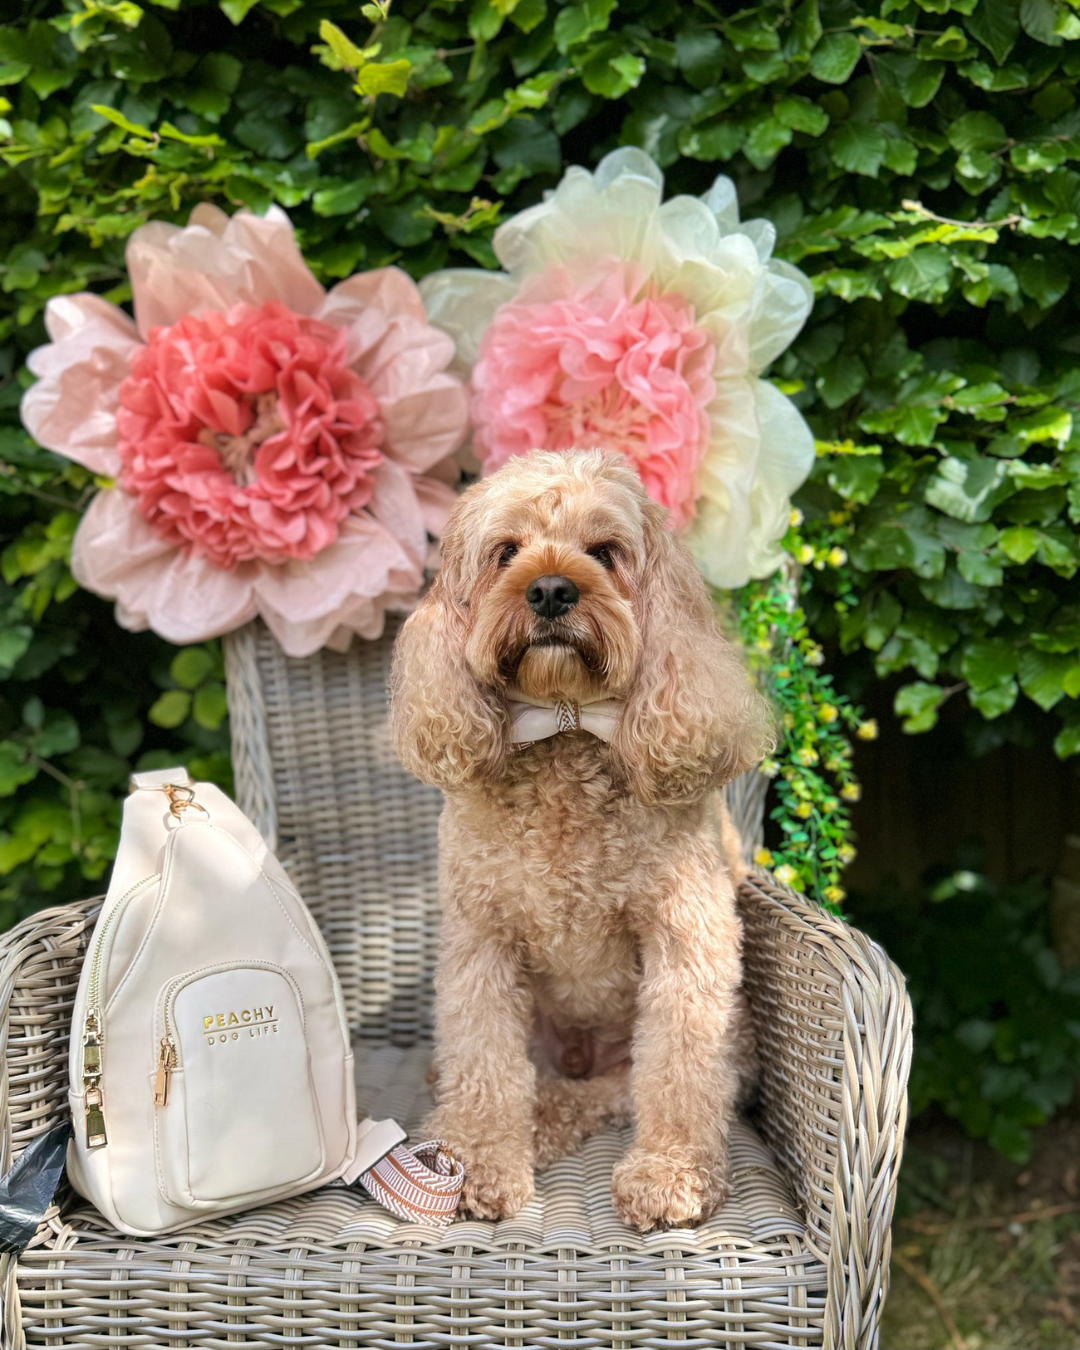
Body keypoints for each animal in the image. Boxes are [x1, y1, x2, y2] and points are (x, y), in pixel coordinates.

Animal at [390, 448, 773, 1230]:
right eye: (505, 551)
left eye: (604, 551)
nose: (550, 591)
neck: (564, 729)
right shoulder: (481, 940)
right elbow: (484, 1059)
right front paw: (476, 1155)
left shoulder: (687, 935)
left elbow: (682, 1069)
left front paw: (672, 1172)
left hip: (708, 1041)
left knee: (605, 1093)